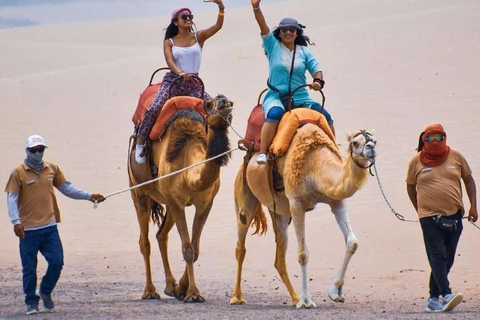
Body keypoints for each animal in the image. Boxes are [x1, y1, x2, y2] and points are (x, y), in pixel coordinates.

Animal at [127, 94, 232, 302]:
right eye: (209, 105)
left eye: (225, 101)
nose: (223, 100)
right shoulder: (176, 201)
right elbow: (188, 249)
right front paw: (193, 294)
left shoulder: (205, 203)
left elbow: (195, 248)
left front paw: (182, 289)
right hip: (138, 191)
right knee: (145, 241)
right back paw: (150, 292)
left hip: (167, 203)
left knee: (161, 235)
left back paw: (169, 286)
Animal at [231, 124, 376, 308]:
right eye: (355, 142)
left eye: (375, 140)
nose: (371, 148)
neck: (316, 167)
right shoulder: (297, 203)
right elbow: (303, 254)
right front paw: (306, 300)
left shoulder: (337, 201)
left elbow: (353, 243)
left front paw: (336, 292)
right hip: (244, 195)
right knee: (240, 246)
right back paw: (237, 297)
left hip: (278, 212)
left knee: (279, 257)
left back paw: (294, 298)